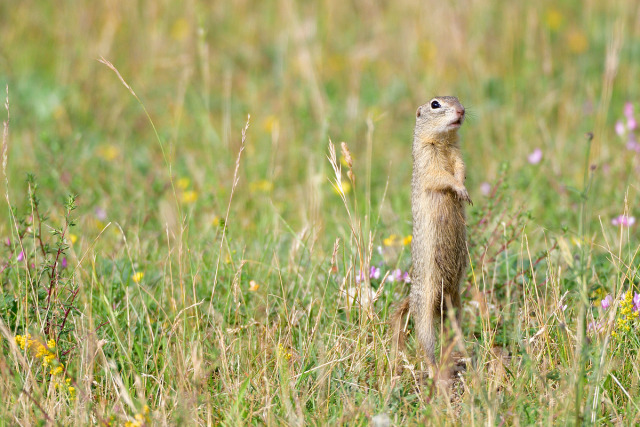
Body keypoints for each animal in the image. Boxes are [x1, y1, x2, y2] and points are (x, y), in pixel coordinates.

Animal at [390, 95, 470, 370]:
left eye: (458, 98)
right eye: (435, 104)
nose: (461, 110)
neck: (443, 143)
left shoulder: (457, 154)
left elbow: (460, 168)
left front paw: (464, 189)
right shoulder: (427, 160)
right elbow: (441, 176)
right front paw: (460, 189)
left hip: (455, 304)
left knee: (451, 330)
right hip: (425, 307)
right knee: (425, 341)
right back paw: (434, 366)